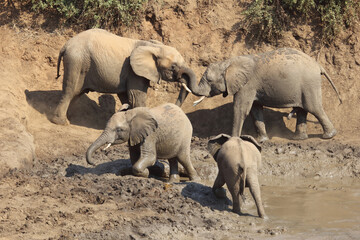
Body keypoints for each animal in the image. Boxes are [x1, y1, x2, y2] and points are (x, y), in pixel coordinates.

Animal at [52, 28, 191, 125]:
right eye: (173, 67)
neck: (154, 46)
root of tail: (65, 45)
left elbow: (127, 97)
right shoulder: (133, 71)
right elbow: (136, 97)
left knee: (77, 93)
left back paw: (70, 118)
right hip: (76, 61)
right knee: (70, 91)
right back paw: (62, 122)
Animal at [179, 47, 342, 142]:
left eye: (209, 80)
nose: (180, 77)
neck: (229, 62)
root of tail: (318, 65)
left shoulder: (247, 84)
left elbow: (241, 109)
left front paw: (232, 139)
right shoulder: (252, 87)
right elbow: (255, 110)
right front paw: (262, 141)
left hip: (309, 83)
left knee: (314, 108)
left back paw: (329, 136)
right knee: (303, 109)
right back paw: (298, 139)